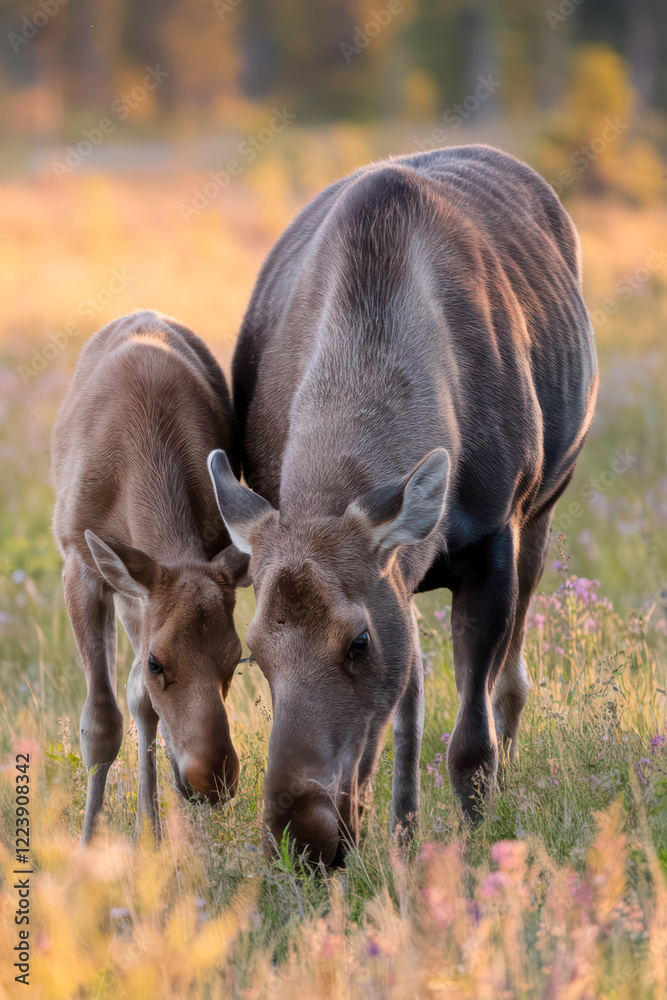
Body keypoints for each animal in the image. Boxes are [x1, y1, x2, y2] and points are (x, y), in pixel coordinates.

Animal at [52, 310, 250, 845]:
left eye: (238, 658)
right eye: (162, 663)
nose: (211, 780)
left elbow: (139, 699)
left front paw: (154, 840)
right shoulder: (80, 559)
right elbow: (100, 721)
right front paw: (85, 847)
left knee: (138, 699)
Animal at [208, 145, 598, 867]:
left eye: (357, 641)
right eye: (254, 652)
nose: (300, 837)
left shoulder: (492, 542)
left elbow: (470, 740)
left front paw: (477, 837)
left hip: (542, 512)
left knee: (511, 681)